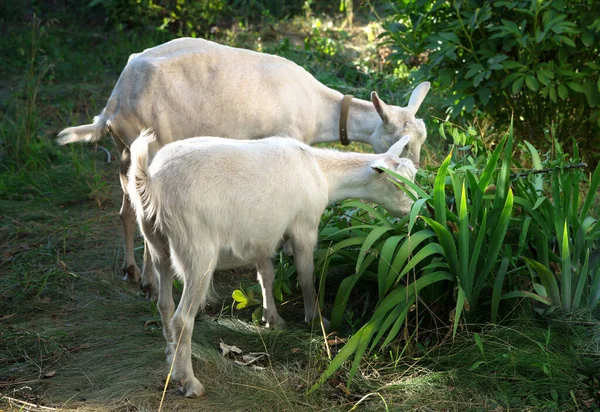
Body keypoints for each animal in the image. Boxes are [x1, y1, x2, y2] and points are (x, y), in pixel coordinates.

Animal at [57, 37, 432, 294]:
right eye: (405, 142)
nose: (421, 189)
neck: (317, 108)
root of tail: (114, 104)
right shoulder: (283, 136)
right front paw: (284, 250)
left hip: (124, 150)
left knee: (126, 211)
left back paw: (132, 270)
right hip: (150, 143)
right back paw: (151, 282)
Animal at [126, 130, 418, 398]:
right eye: (396, 185)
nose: (414, 212)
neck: (321, 172)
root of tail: (151, 182)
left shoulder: (261, 237)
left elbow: (266, 274)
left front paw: (272, 318)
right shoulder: (304, 226)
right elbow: (306, 274)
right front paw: (315, 318)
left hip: (157, 242)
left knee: (164, 303)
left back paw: (171, 358)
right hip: (197, 248)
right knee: (183, 319)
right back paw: (189, 382)